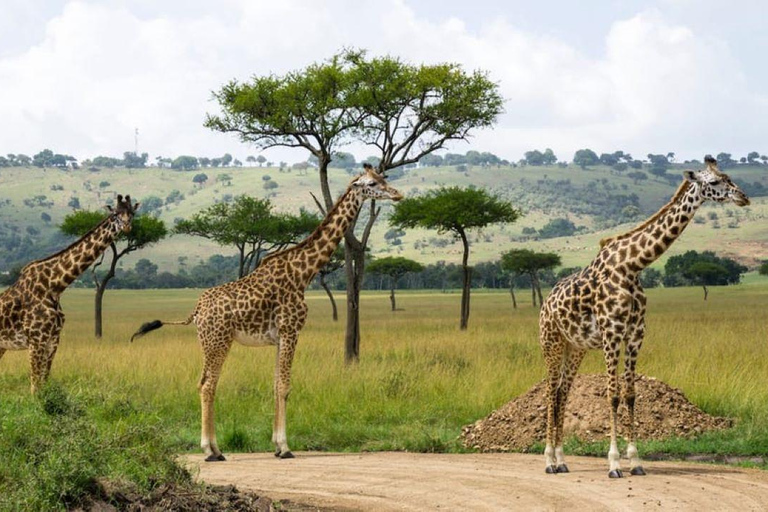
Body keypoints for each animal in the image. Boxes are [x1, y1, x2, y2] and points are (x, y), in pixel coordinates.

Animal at [0, 195, 140, 392]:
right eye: (114, 214)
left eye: (132, 213)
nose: (127, 226)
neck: (55, 285)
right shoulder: (36, 339)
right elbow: (35, 387)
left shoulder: (53, 339)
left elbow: (44, 383)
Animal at [130, 164, 402, 460]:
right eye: (372, 183)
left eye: (383, 178)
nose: (397, 194)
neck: (303, 273)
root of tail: (197, 309)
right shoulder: (291, 330)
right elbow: (285, 386)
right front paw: (285, 447)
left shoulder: (279, 336)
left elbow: (275, 385)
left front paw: (276, 445)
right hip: (218, 341)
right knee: (207, 385)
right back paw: (210, 450)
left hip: (208, 342)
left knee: (204, 383)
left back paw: (217, 449)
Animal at [536, 157, 748, 480]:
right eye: (713, 182)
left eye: (728, 176)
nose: (743, 197)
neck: (632, 266)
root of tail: (545, 303)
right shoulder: (612, 334)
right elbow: (612, 395)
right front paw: (613, 464)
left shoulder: (636, 334)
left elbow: (631, 394)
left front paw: (635, 461)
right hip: (552, 341)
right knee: (550, 392)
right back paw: (548, 461)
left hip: (576, 347)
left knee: (562, 392)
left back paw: (561, 460)